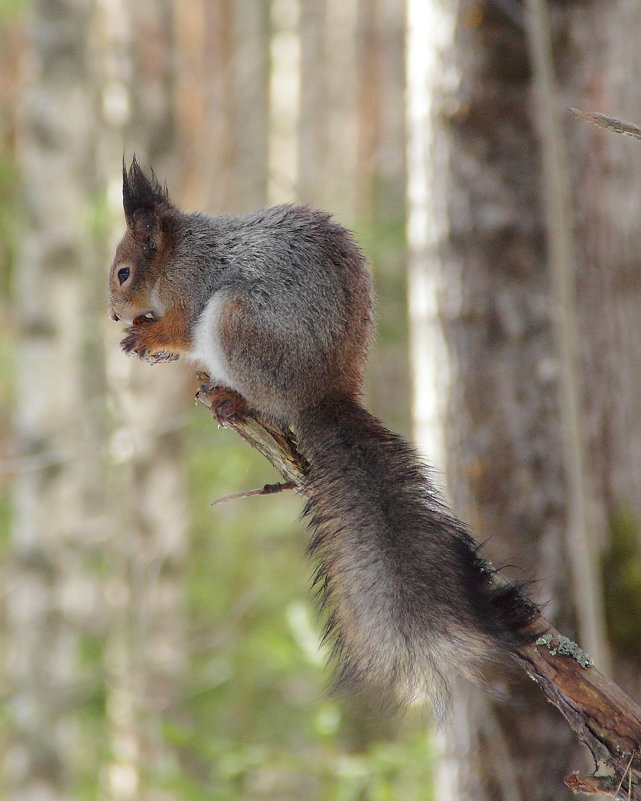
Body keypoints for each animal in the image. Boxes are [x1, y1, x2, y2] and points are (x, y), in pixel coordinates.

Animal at [110, 158, 540, 712]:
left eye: (123, 272)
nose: (114, 313)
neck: (177, 251)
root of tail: (323, 393)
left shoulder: (191, 286)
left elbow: (180, 330)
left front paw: (145, 335)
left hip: (236, 324)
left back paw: (232, 398)